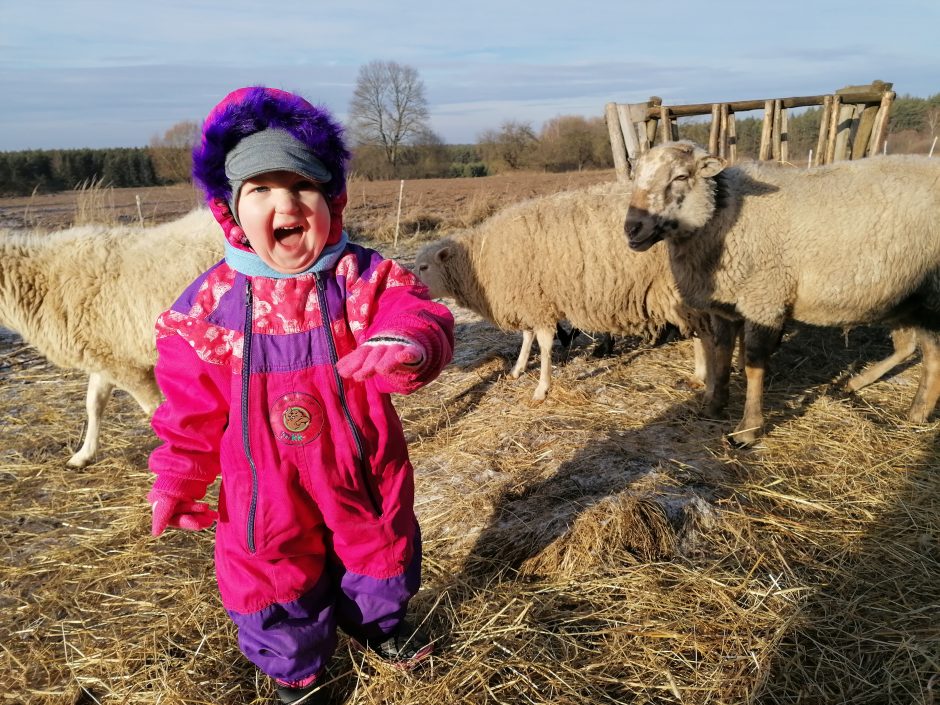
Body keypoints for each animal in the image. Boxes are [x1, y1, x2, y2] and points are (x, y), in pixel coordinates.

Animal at [0, 209, 222, 468]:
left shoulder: (128, 367)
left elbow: (154, 410)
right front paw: (83, 455)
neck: (45, 280)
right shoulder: (104, 356)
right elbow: (94, 404)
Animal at [414, 180, 708, 402]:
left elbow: (544, 343)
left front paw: (542, 388)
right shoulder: (529, 300)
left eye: (424, 267)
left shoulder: (537, 300)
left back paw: (700, 374)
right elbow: (527, 336)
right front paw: (518, 369)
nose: (413, 290)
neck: (479, 259)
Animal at [624, 140, 940, 442]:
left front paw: (748, 430)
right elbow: (722, 354)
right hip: (904, 294)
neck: (727, 213)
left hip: (930, 296)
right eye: (634, 175)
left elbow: (753, 364)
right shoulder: (725, 308)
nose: (632, 228)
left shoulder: (764, 300)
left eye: (680, 176)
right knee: (909, 347)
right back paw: (862, 386)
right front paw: (714, 406)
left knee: (932, 355)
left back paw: (917, 412)